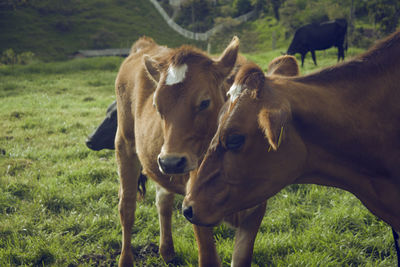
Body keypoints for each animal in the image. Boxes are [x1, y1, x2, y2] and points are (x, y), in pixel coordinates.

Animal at [114, 36, 274, 267]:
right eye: (157, 105)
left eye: (204, 102)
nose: (171, 162)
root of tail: (145, 45)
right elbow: (208, 259)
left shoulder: (256, 209)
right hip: (125, 144)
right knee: (127, 207)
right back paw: (126, 259)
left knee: (163, 200)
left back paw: (167, 251)